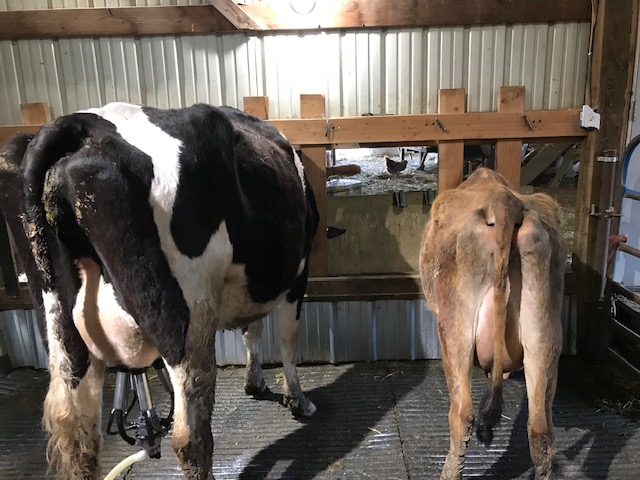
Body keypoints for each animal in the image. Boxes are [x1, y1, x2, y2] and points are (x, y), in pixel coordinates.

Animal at [0, 102, 319, 480]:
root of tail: (80, 124)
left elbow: (251, 329)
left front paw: (254, 382)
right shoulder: (298, 272)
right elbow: (287, 338)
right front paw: (297, 400)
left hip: (60, 324)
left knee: (80, 436)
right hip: (187, 316)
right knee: (189, 433)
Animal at [419, 167, 565, 480]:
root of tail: (504, 201)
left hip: (455, 327)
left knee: (463, 414)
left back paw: (449, 471)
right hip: (543, 332)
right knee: (540, 427)